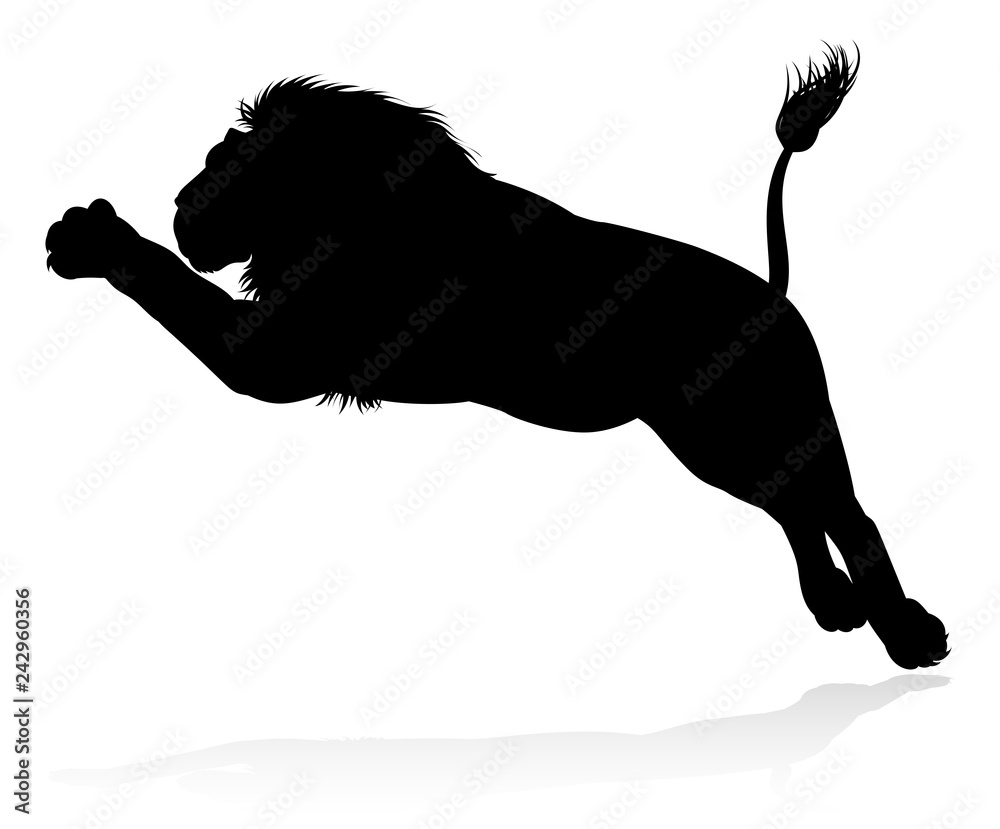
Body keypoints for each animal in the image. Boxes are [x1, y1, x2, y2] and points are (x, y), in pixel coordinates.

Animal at [45, 44, 948, 669]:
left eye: (226, 164)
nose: (179, 205)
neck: (361, 210)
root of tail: (773, 293)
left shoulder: (273, 354)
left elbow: (167, 285)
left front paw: (86, 236)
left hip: (754, 425)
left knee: (846, 512)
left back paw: (911, 635)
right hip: (719, 442)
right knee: (795, 509)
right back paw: (836, 607)